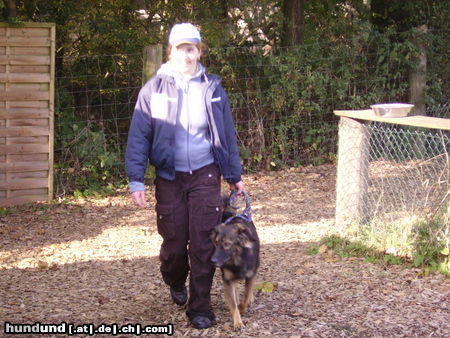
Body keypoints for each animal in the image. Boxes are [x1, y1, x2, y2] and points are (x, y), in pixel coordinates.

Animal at [210, 194, 258, 328]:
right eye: (216, 243)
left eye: (227, 244)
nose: (212, 261)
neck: (238, 259)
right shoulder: (227, 279)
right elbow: (234, 303)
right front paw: (238, 322)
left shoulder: (251, 276)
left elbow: (245, 297)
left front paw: (243, 307)